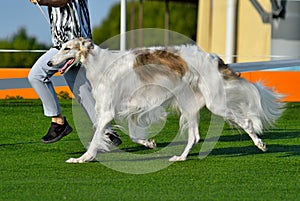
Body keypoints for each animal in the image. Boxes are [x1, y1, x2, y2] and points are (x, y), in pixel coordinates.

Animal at [48, 37, 284, 163]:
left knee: (246, 122)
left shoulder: (108, 111)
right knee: (195, 136)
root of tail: (213, 58)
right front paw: (149, 143)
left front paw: (82, 158)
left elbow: (96, 138)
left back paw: (260, 144)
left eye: (67, 48)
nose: (49, 63)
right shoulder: (133, 107)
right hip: (190, 106)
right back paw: (180, 157)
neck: (101, 65)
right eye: (61, 47)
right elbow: (134, 135)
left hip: (215, 104)